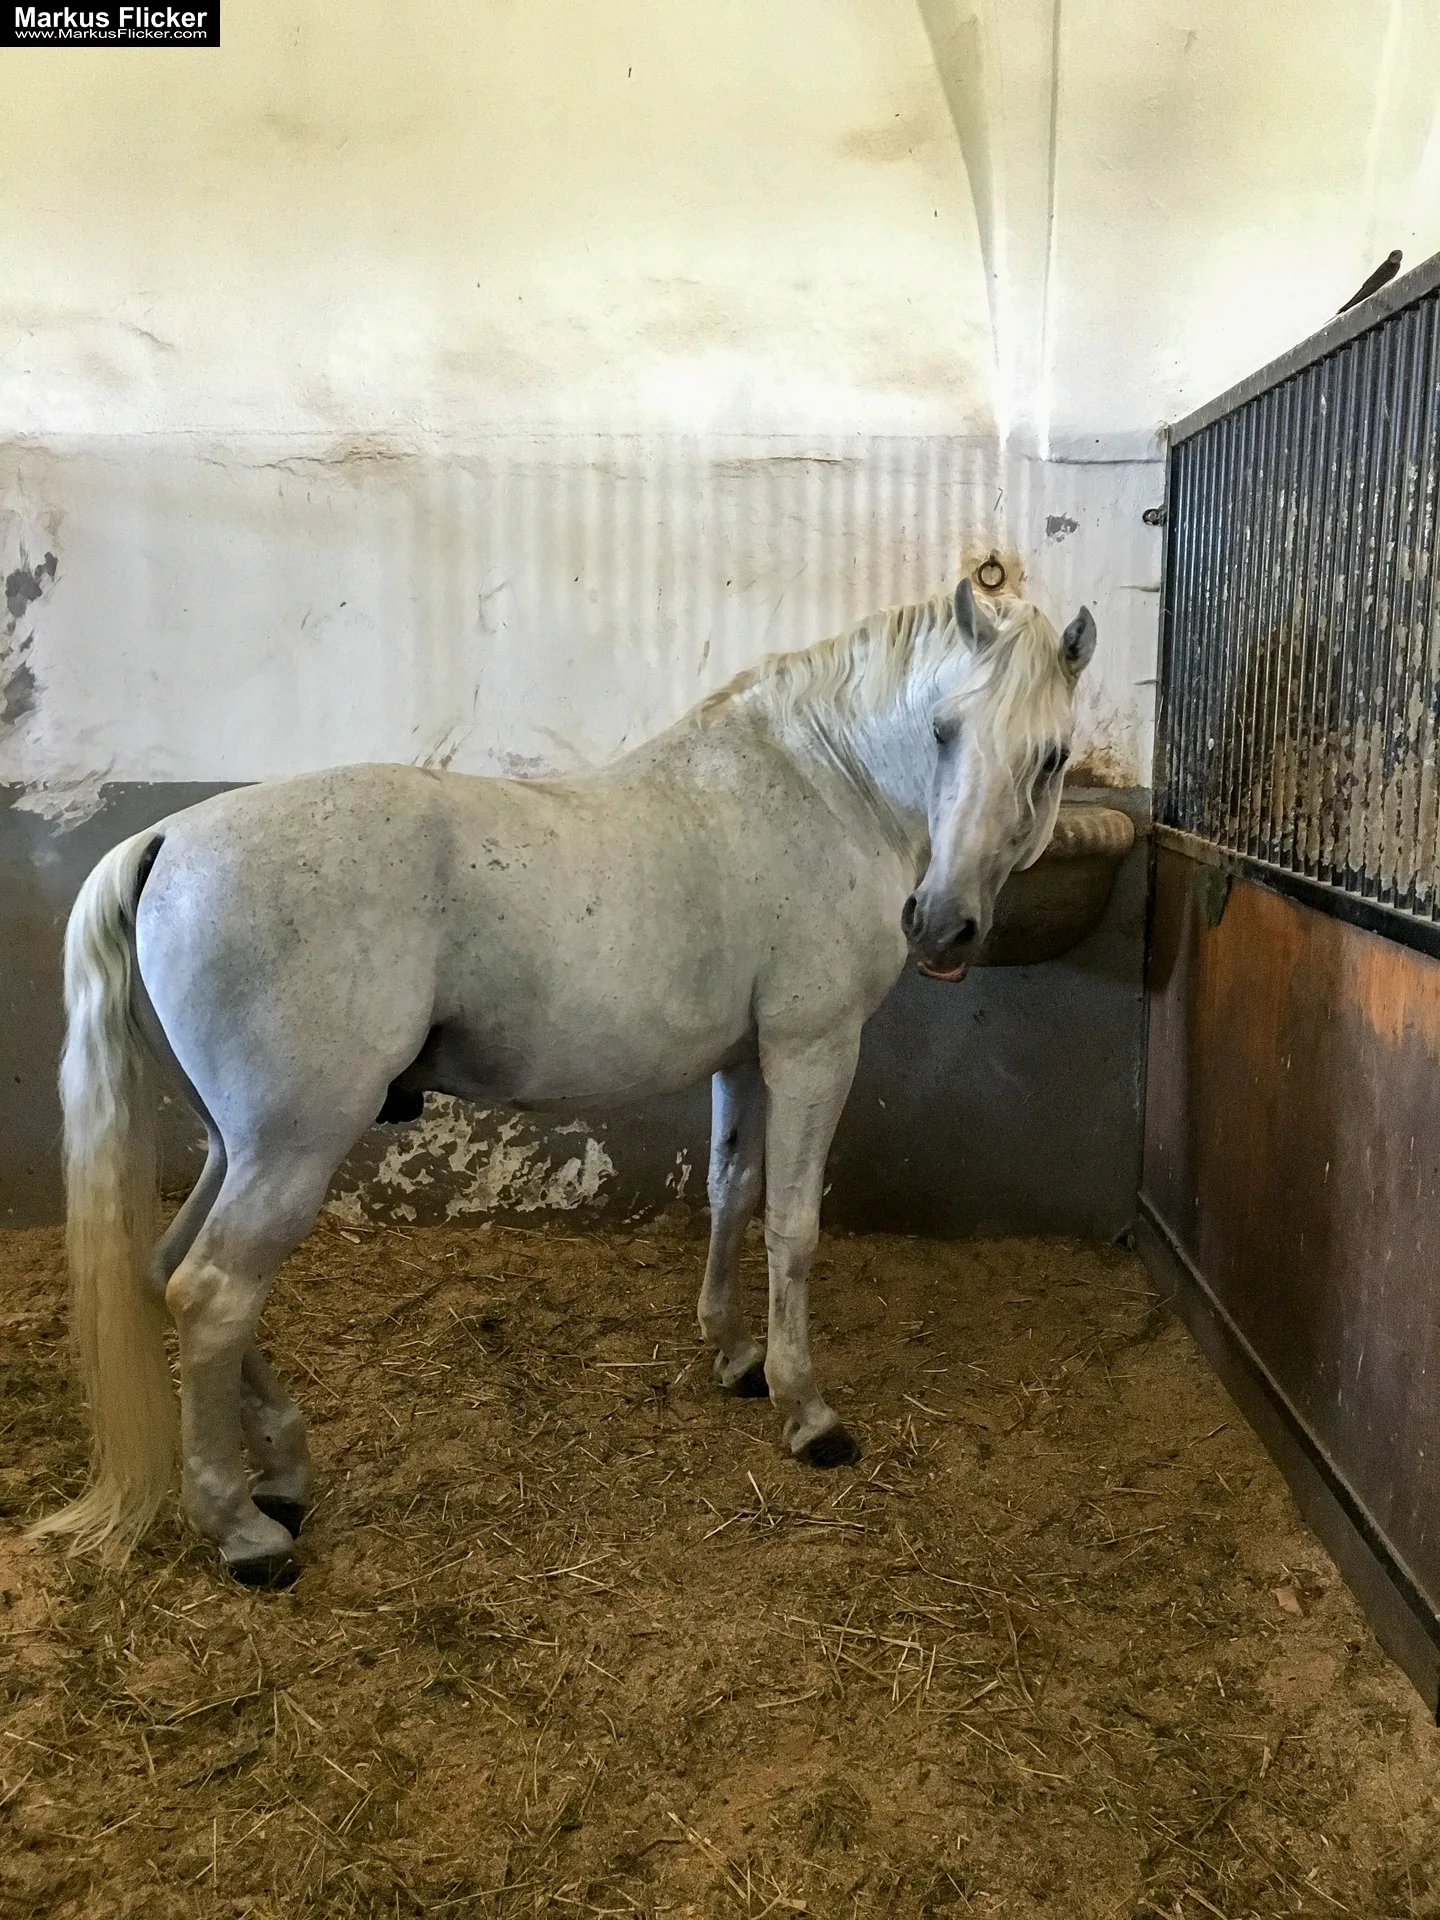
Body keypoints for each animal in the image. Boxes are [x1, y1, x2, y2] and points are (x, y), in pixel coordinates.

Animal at [31, 577, 1096, 1587]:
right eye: (943, 730)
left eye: (1050, 757)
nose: (942, 925)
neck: (818, 788)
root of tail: (166, 839)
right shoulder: (814, 1050)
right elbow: (794, 1228)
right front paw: (808, 1409)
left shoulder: (746, 1061)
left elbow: (732, 1189)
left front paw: (734, 1355)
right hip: (291, 1149)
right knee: (214, 1295)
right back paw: (246, 1534)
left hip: (236, 1145)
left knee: (169, 1270)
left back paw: (284, 1475)